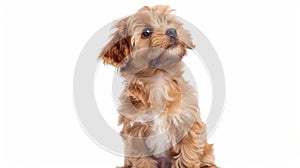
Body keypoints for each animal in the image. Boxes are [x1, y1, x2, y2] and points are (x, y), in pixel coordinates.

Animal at [99, 5, 217, 168]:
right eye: (146, 32)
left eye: (169, 22)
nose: (172, 31)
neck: (158, 79)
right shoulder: (135, 135)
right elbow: (142, 161)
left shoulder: (189, 125)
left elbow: (187, 157)